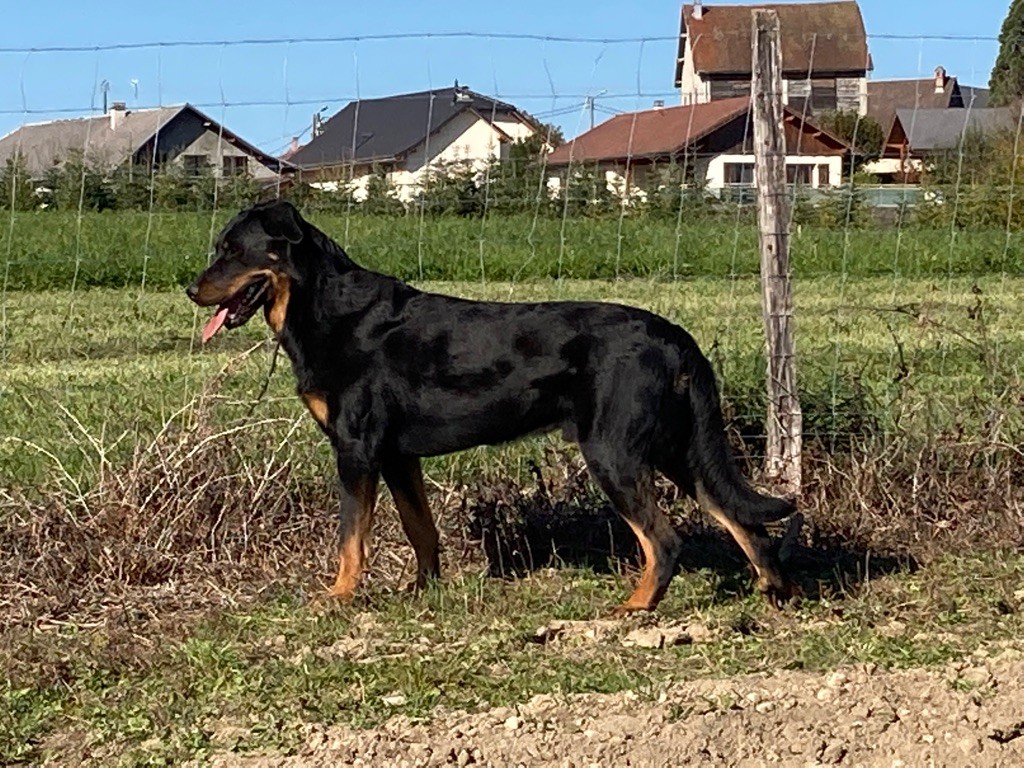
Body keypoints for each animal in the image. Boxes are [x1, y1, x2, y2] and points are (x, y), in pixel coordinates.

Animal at [190, 201, 798, 618]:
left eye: (232, 251)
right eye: (217, 248)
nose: (192, 291)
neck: (321, 306)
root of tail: (673, 335)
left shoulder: (357, 450)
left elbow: (350, 538)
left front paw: (339, 596)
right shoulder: (398, 458)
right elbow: (421, 529)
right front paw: (424, 590)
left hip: (614, 451)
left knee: (665, 539)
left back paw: (636, 607)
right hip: (677, 448)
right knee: (742, 517)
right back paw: (774, 590)